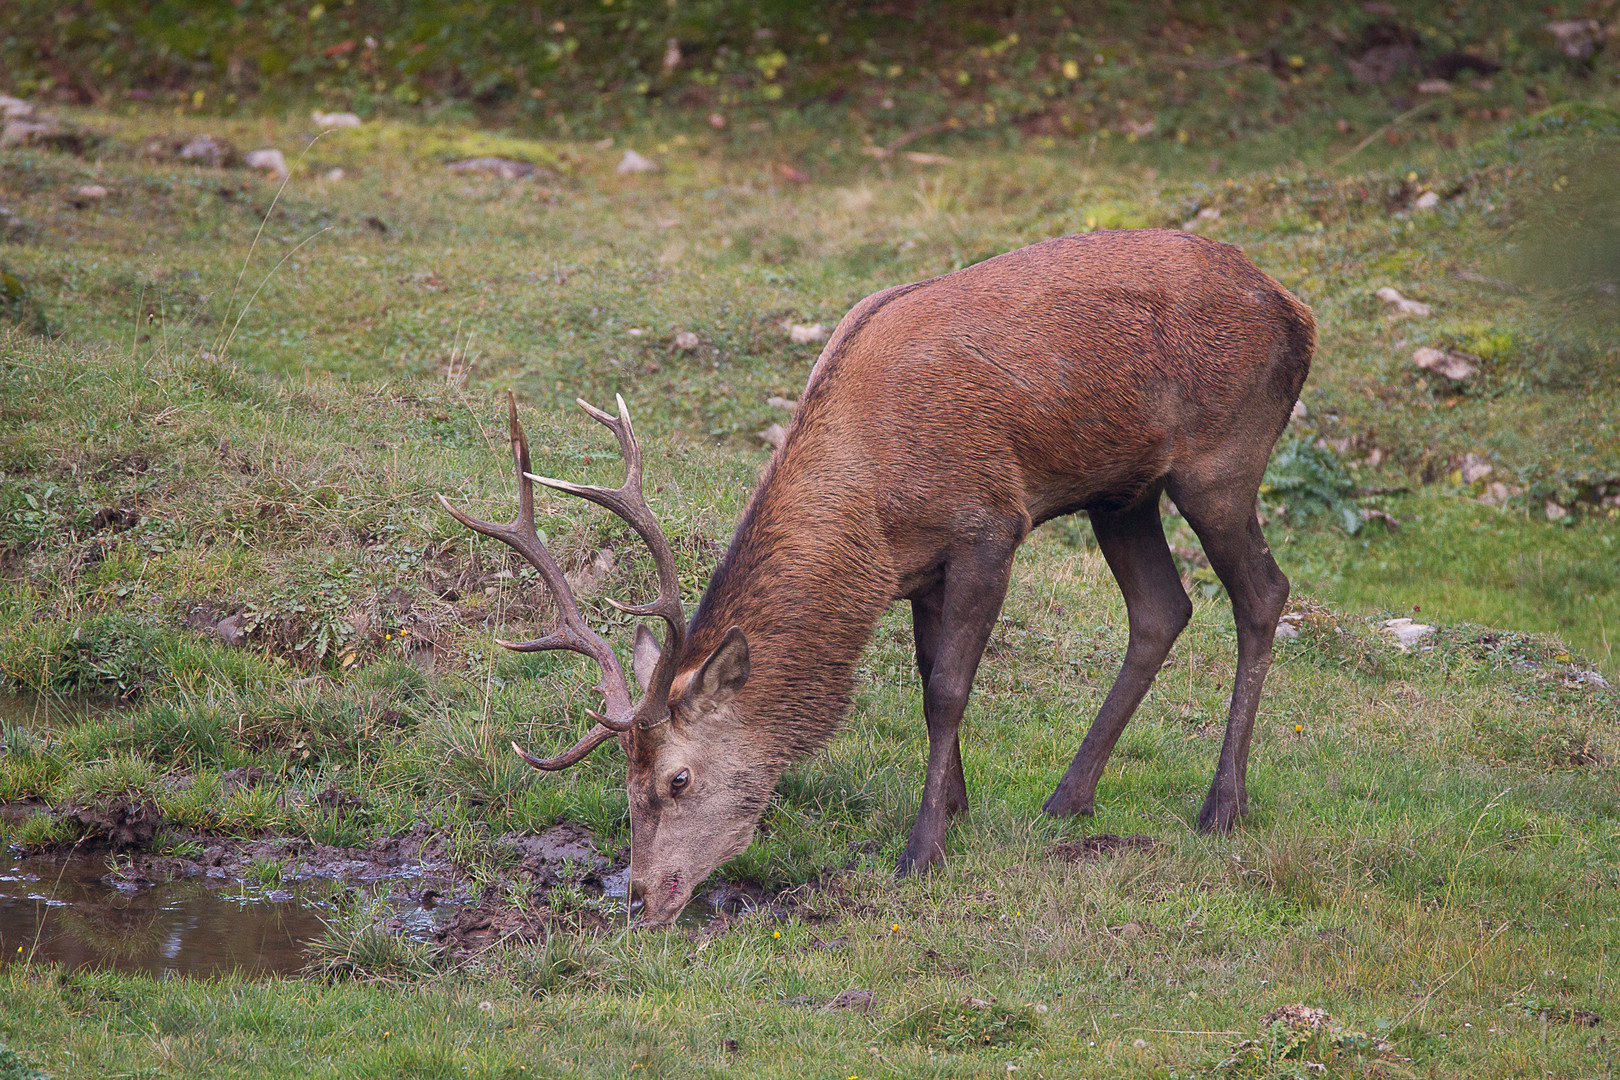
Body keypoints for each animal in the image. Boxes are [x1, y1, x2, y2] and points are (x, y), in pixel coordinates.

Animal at [443, 226, 1315, 919]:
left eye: (678, 781)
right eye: (625, 788)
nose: (639, 898)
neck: (873, 503)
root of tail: (1295, 310)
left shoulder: (989, 527)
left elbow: (947, 690)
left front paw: (921, 849)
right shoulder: (920, 567)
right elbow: (931, 673)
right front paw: (957, 807)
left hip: (1222, 459)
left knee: (1264, 594)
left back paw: (1222, 805)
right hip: (1121, 491)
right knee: (1162, 609)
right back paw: (1070, 796)